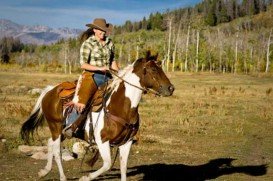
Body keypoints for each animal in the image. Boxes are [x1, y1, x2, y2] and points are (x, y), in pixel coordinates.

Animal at [20, 51, 173, 181]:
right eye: (153, 70)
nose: (171, 88)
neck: (121, 108)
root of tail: (50, 90)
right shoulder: (102, 141)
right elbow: (107, 164)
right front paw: (85, 177)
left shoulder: (127, 142)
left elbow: (123, 167)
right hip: (55, 127)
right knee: (57, 151)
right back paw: (62, 177)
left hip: (62, 131)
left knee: (50, 143)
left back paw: (44, 171)